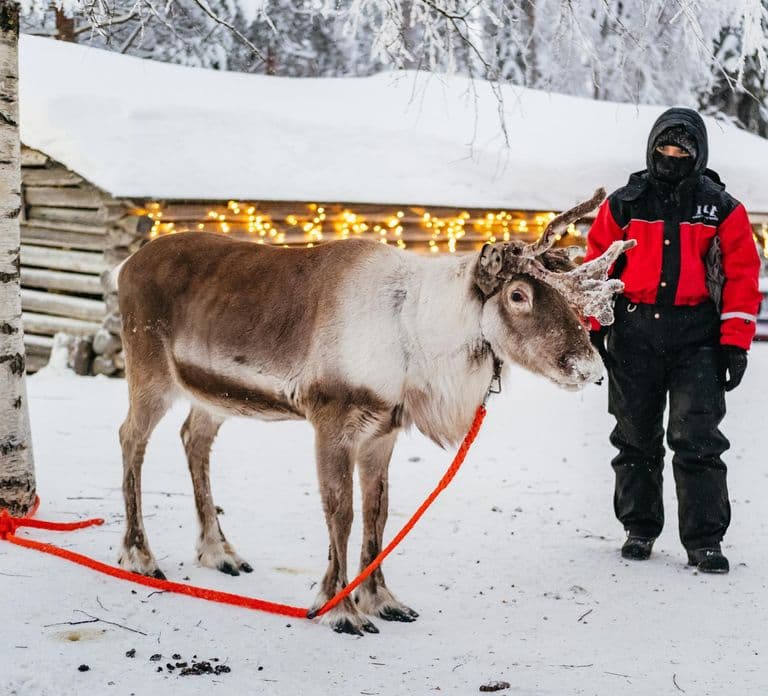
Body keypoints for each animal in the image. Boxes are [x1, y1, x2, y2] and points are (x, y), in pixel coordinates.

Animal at [115, 188, 634, 635]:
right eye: (518, 295)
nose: (590, 368)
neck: (416, 339)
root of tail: (125, 266)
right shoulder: (331, 422)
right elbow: (340, 513)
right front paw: (339, 609)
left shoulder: (383, 431)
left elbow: (377, 514)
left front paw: (382, 601)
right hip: (149, 373)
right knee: (130, 439)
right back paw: (139, 556)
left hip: (212, 395)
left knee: (193, 438)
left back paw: (219, 552)